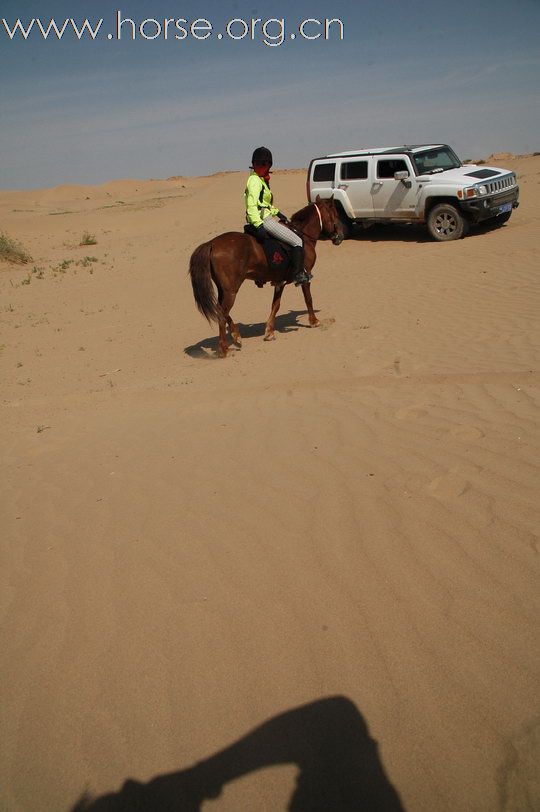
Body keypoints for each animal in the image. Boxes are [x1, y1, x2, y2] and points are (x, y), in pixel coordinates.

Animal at [189, 195, 342, 356]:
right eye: (335, 213)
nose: (340, 235)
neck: (303, 237)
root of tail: (211, 243)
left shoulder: (279, 282)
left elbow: (275, 305)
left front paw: (269, 332)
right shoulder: (306, 275)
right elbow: (308, 299)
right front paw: (314, 321)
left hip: (224, 289)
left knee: (220, 309)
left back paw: (236, 337)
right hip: (231, 291)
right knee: (222, 313)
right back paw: (224, 349)